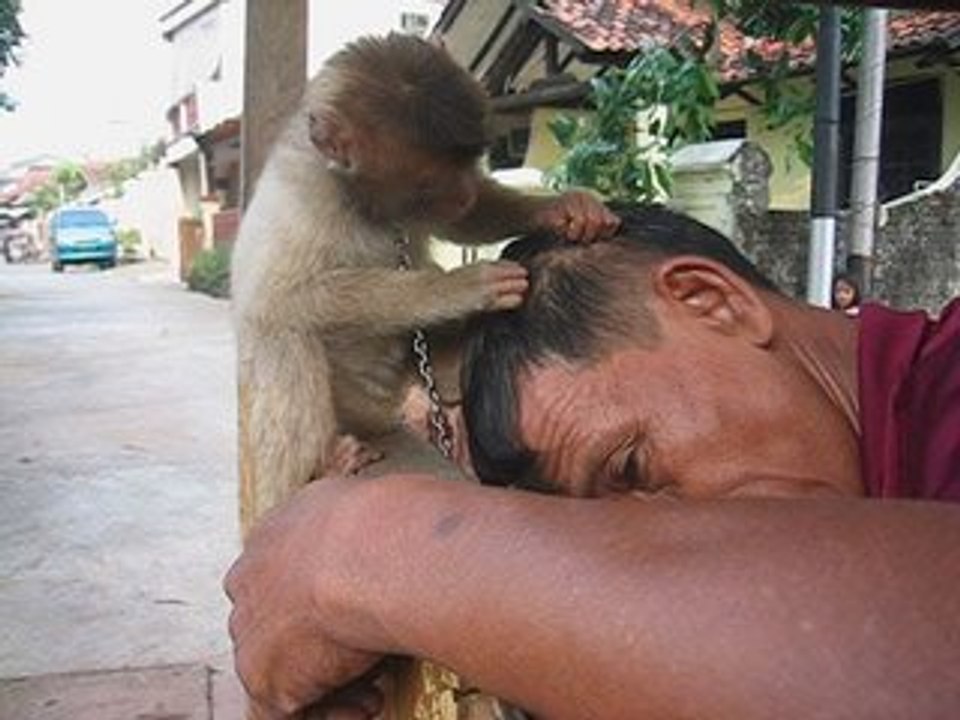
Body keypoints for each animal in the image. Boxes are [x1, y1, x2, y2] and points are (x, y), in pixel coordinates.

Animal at [231, 32, 618, 522]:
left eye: (470, 164)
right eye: (427, 183)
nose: (466, 191)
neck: (363, 203)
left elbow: (464, 222)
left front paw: (560, 208)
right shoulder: (307, 198)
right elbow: (280, 297)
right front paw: (461, 287)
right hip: (349, 413)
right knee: (280, 332)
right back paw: (323, 466)